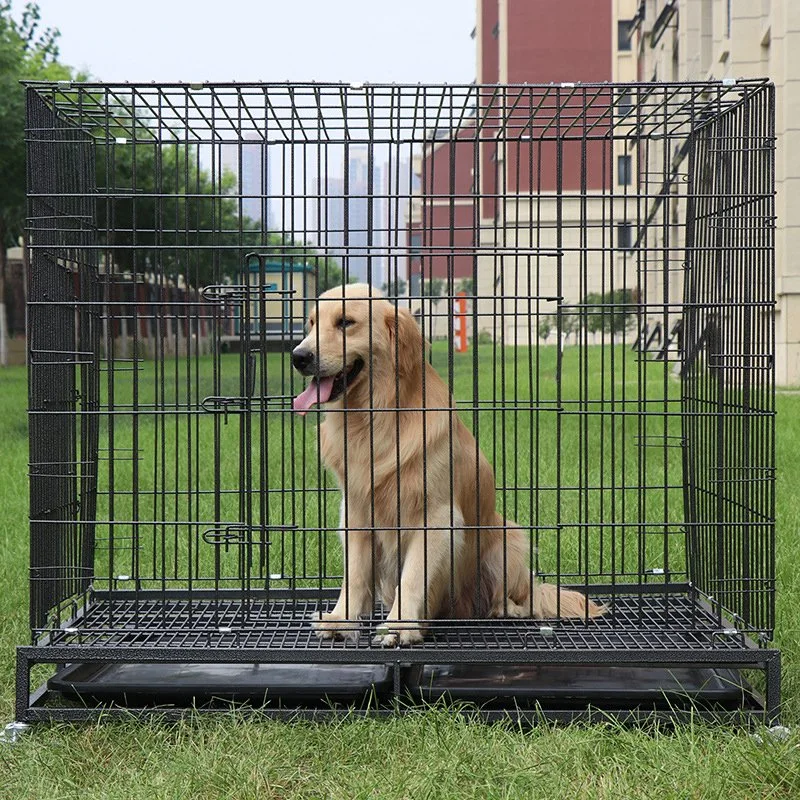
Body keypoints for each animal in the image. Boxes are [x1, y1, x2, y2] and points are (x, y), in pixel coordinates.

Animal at [290, 284, 604, 648]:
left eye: (345, 322)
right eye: (312, 323)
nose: (298, 356)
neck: (375, 418)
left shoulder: (437, 518)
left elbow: (412, 577)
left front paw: (400, 627)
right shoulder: (355, 512)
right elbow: (353, 576)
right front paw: (341, 620)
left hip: (509, 537)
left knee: (526, 597)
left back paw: (506, 609)